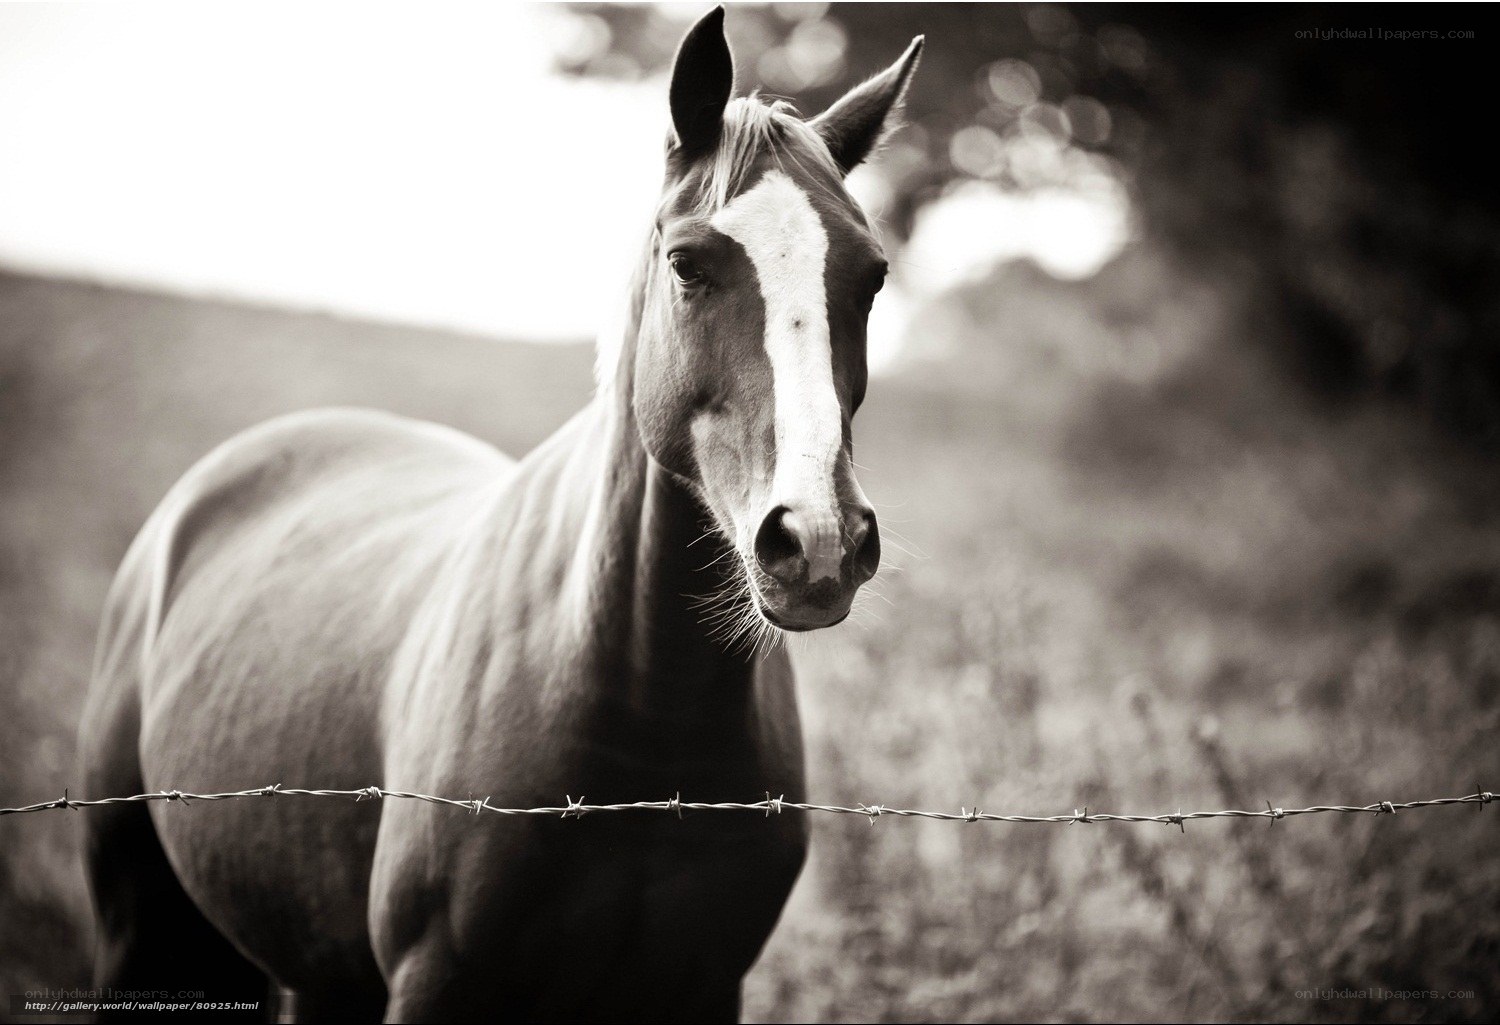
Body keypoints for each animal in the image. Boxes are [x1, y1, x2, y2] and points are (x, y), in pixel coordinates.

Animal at [77, 8, 921, 1021]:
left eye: (871, 277)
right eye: (687, 262)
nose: (819, 540)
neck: (641, 729)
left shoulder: (706, 987)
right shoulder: (436, 981)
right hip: (142, 927)